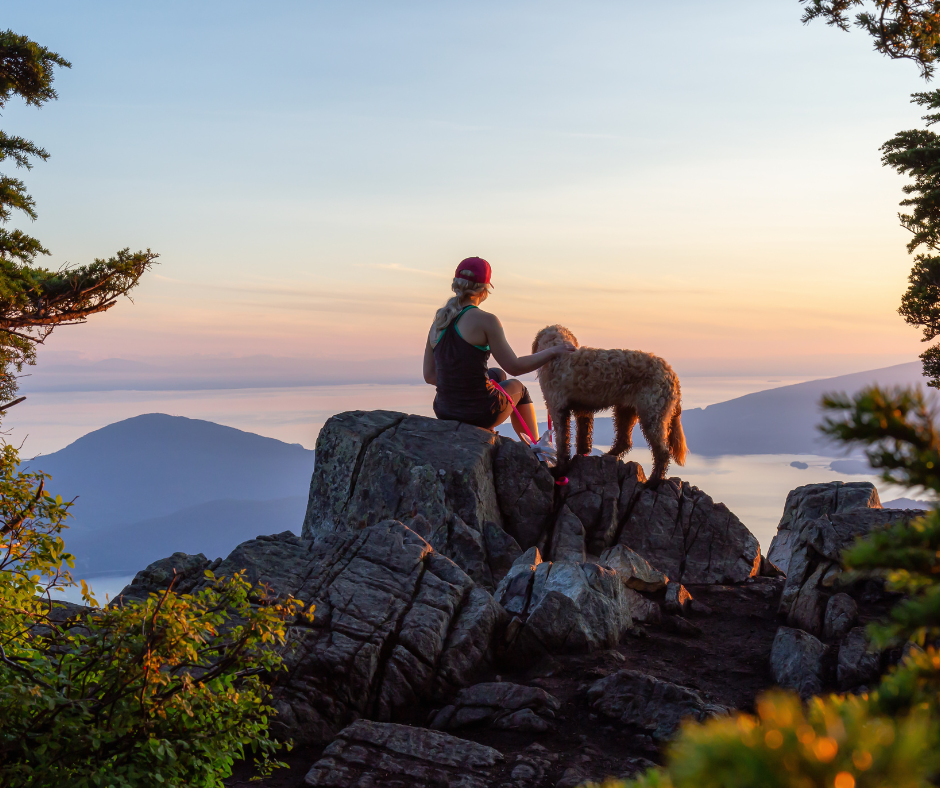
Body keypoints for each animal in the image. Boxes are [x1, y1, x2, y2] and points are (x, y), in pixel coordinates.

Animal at [532, 324, 688, 484]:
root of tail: (672, 375)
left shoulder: (557, 408)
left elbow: (562, 441)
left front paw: (560, 469)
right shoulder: (583, 409)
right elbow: (583, 436)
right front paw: (581, 454)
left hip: (652, 415)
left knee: (662, 452)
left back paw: (654, 480)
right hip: (625, 409)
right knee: (625, 440)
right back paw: (609, 455)